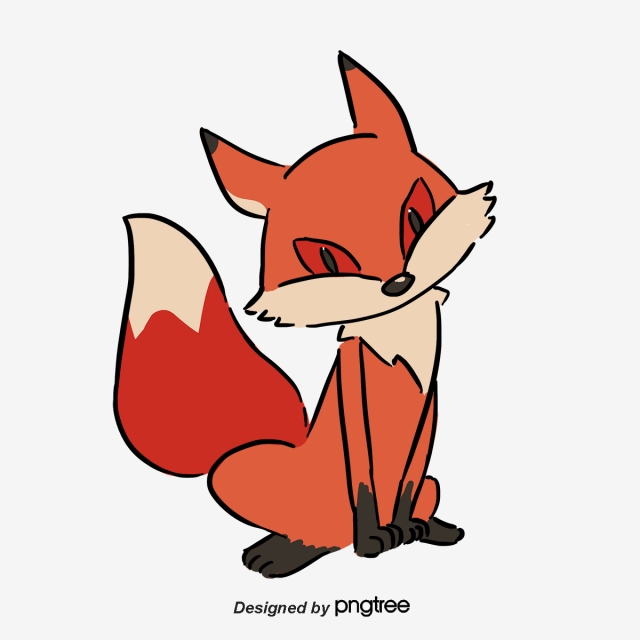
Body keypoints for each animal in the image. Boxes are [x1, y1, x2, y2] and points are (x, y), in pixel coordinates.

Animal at [114, 52, 496, 578]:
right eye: (325, 259)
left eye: (415, 215)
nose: (398, 283)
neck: (398, 331)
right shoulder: (354, 390)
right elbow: (364, 482)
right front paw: (375, 540)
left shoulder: (430, 398)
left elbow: (408, 479)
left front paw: (406, 529)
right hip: (237, 472)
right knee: (308, 533)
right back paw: (285, 551)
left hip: (433, 483)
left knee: (418, 495)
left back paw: (427, 530)